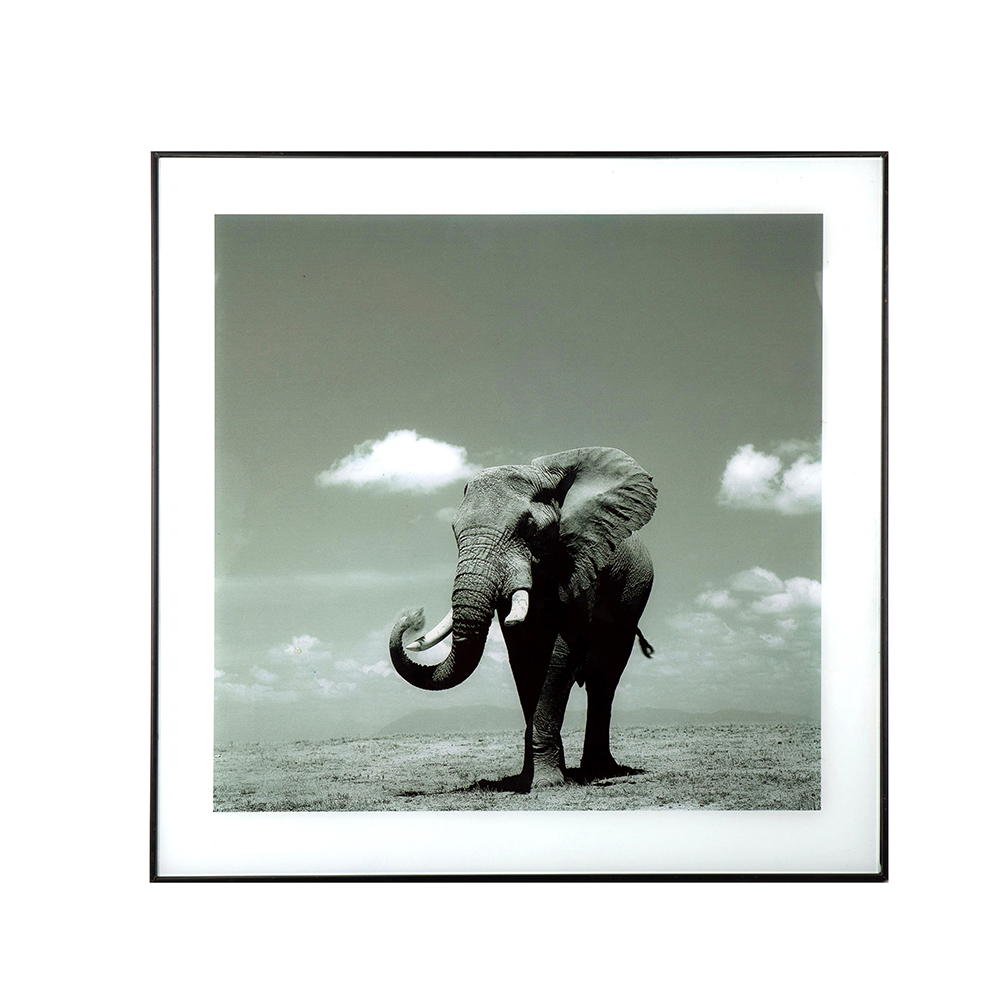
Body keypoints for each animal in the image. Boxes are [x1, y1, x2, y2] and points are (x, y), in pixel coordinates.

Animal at [389, 446, 657, 791]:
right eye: (454, 530)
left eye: (529, 529)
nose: (413, 616)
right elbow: (523, 657)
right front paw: (528, 780)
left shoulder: (579, 565)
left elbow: (556, 657)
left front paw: (546, 784)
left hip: (634, 595)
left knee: (604, 676)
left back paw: (599, 771)